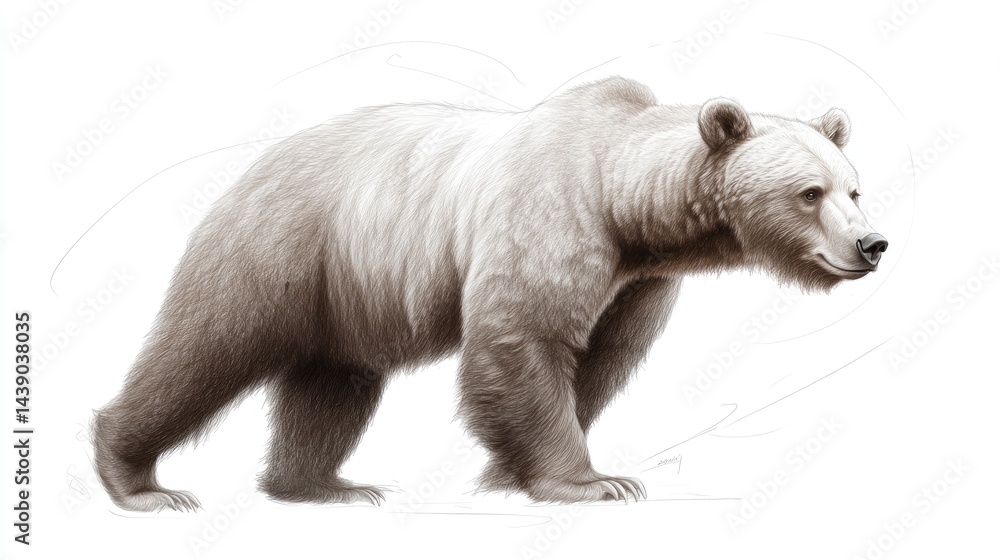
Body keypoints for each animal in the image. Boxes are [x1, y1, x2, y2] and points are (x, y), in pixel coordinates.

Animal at [92, 76, 887, 512]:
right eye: (808, 192)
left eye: (853, 187)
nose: (872, 245)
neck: (628, 205)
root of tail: (252, 166)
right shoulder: (552, 218)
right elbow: (522, 339)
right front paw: (593, 483)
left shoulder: (636, 283)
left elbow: (600, 360)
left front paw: (509, 473)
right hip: (278, 250)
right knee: (207, 349)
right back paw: (137, 479)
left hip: (343, 289)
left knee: (333, 383)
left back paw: (322, 484)